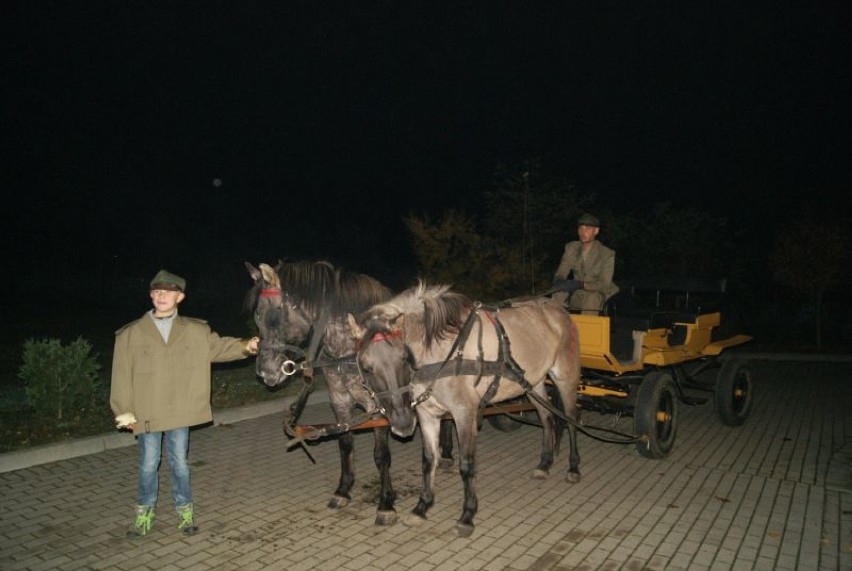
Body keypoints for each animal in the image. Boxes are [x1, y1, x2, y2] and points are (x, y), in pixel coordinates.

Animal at [350, 284, 584, 540]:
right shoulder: (426, 414)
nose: (402, 423)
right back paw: (544, 464)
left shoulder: (465, 414)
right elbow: (428, 460)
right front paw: (422, 506)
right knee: (547, 418)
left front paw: (467, 515)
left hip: (565, 377)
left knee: (571, 420)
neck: (441, 352)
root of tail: (559, 310)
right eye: (366, 367)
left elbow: (466, 465)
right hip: (533, 382)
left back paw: (573, 467)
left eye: (403, 357)